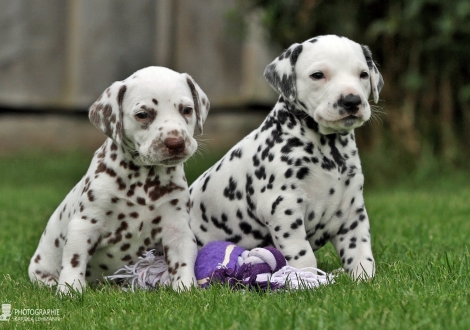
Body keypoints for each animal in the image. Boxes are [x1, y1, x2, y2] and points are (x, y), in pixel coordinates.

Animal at [28, 65, 209, 292]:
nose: (175, 142)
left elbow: (183, 262)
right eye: (143, 114)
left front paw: (186, 288)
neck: (145, 180)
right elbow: (74, 261)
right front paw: (70, 290)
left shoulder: (177, 227)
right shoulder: (84, 223)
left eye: (187, 110)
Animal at [189, 35, 384, 278]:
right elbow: (303, 255)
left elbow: (360, 251)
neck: (329, 150)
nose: (351, 100)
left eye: (363, 74)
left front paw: (363, 278)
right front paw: (306, 279)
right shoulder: (283, 207)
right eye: (318, 75)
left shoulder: (352, 211)